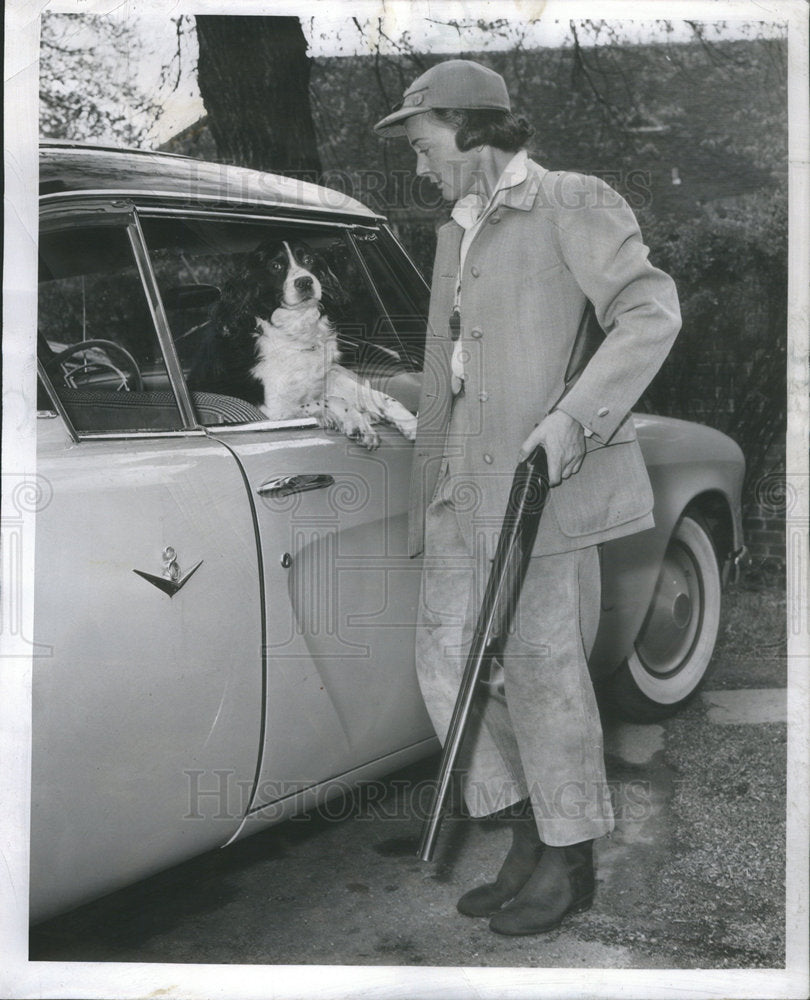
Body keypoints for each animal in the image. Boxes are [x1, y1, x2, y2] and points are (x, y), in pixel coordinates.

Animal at [193, 238, 414, 446]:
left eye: (308, 260)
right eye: (276, 266)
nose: (305, 282)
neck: (294, 332)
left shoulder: (326, 375)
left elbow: (373, 394)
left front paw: (407, 420)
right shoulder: (274, 409)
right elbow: (331, 400)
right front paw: (357, 423)